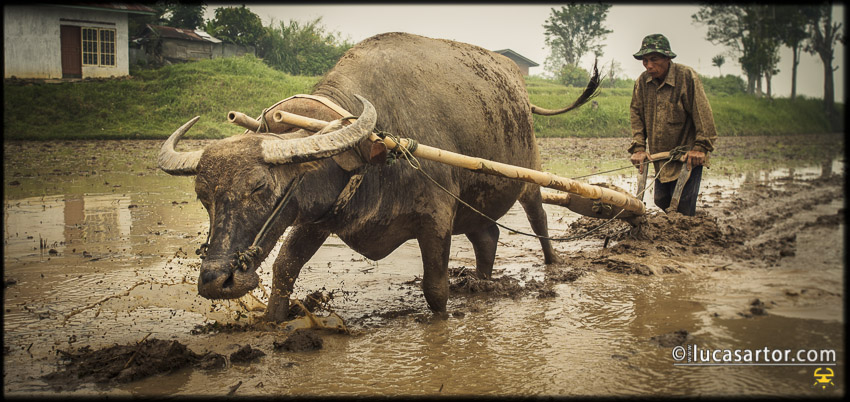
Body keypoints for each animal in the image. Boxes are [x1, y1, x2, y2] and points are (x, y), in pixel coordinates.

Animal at [157, 31, 596, 322]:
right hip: (476, 202)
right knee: (487, 235)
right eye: (203, 197)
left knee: (539, 221)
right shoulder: (317, 216)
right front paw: (272, 323)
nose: (216, 280)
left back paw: (553, 265)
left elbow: (435, 289)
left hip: (530, 175)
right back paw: (481, 284)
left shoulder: (436, 219)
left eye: (261, 187)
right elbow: (284, 268)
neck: (373, 148)